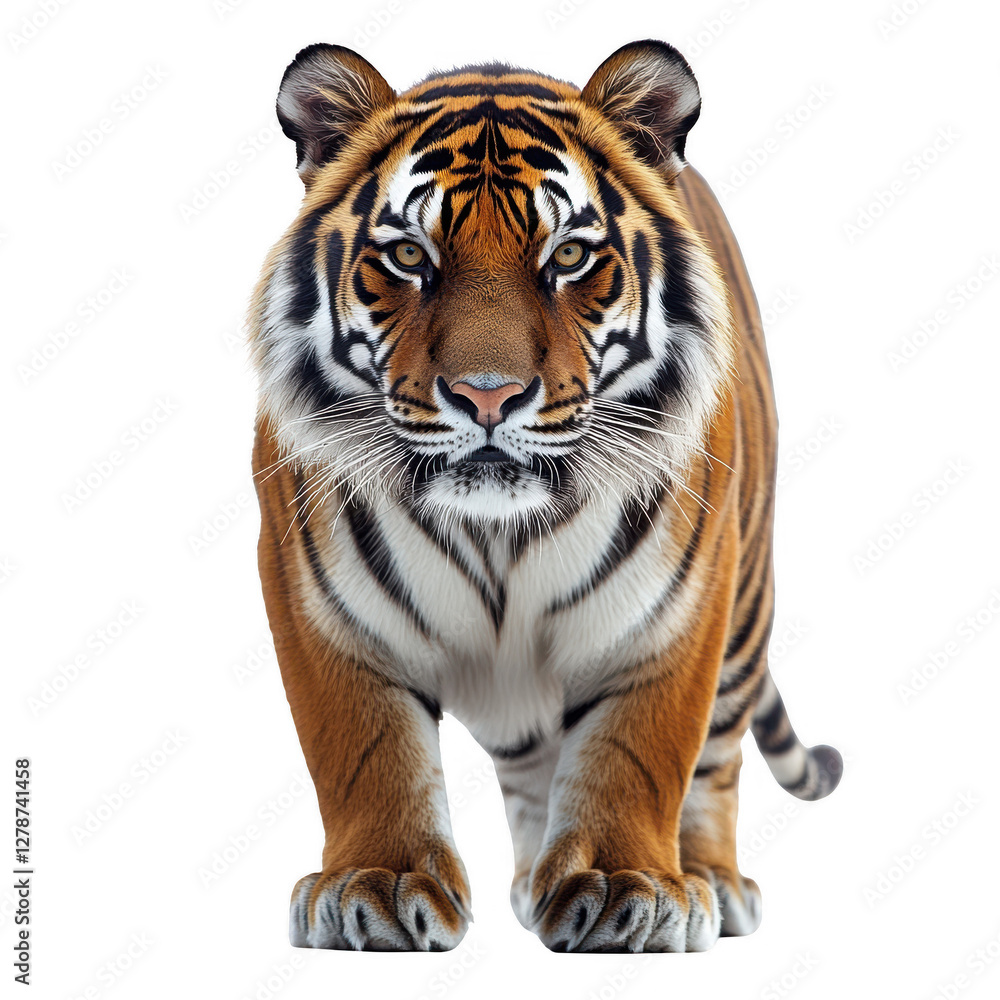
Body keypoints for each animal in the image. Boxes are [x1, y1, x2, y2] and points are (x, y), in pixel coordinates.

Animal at [249, 39, 842, 953]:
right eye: (410, 257)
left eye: (567, 257)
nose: (487, 396)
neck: (499, 533)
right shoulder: (316, 603)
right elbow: (363, 750)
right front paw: (378, 886)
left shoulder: (675, 611)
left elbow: (638, 753)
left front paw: (624, 886)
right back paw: (533, 884)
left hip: (745, 610)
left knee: (717, 758)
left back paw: (708, 878)